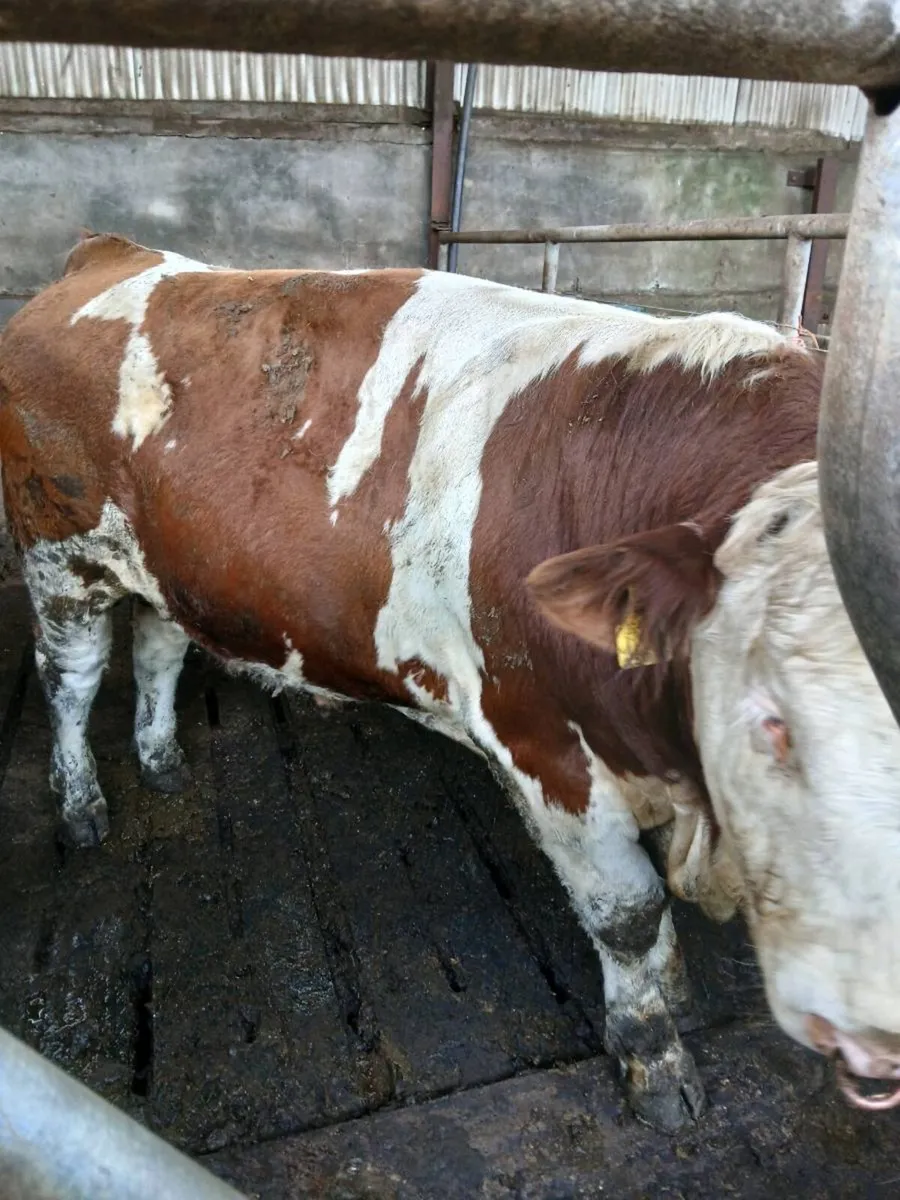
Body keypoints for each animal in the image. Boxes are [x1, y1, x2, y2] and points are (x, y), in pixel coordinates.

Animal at [3, 232, 900, 1132]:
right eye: (772, 721)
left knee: (158, 647)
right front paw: (654, 1056)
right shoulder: (541, 745)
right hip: (60, 558)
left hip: (169, 567)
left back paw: (160, 760)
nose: (873, 1031)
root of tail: (113, 252)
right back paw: (81, 804)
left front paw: (672, 987)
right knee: (72, 681)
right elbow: (628, 910)